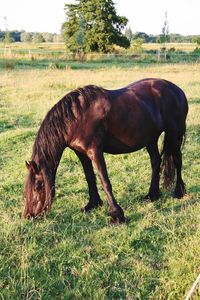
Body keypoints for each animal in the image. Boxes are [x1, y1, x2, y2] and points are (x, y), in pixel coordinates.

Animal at [23, 78, 188, 224]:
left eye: (37, 186)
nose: (28, 215)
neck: (77, 117)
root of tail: (176, 89)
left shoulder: (95, 151)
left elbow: (105, 181)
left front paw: (116, 215)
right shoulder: (81, 153)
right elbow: (90, 178)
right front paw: (93, 204)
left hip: (174, 134)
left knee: (177, 160)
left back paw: (179, 192)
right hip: (150, 139)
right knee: (156, 162)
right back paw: (152, 195)